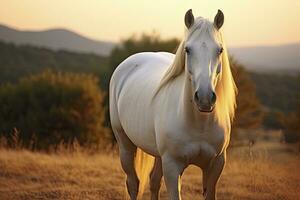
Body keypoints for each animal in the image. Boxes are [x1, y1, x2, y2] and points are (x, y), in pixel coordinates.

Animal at [109, 9, 237, 200]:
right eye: (187, 49)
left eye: (220, 50)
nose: (205, 98)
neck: (199, 124)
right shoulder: (172, 166)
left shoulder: (216, 164)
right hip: (125, 145)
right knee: (133, 184)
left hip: (159, 155)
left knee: (154, 182)